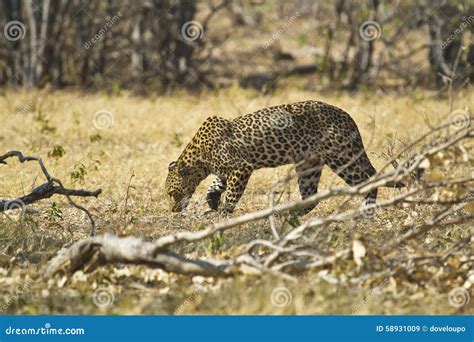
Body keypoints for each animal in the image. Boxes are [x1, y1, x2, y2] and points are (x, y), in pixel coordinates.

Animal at [164, 99, 404, 215]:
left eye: (171, 193)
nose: (173, 210)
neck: (197, 158)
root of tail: (347, 116)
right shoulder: (228, 170)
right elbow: (215, 184)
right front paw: (212, 200)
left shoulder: (242, 167)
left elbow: (232, 193)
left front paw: (223, 212)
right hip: (309, 165)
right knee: (311, 196)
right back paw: (290, 215)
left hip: (342, 157)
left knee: (368, 181)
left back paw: (367, 210)